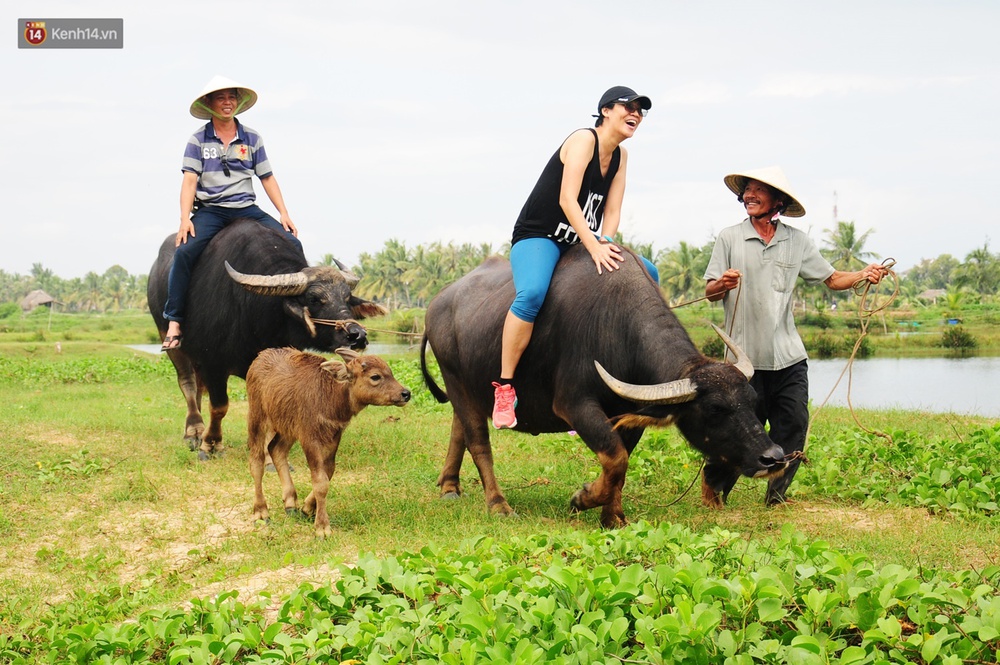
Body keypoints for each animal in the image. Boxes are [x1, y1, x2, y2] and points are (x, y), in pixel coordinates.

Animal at [146, 218, 384, 456]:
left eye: (347, 298)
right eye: (314, 299)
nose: (357, 335)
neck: (253, 315)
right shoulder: (212, 363)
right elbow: (220, 406)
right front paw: (212, 443)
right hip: (170, 340)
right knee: (187, 382)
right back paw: (194, 432)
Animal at [247, 348, 410, 536]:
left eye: (390, 372)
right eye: (375, 376)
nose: (406, 393)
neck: (331, 397)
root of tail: (260, 356)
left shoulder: (334, 436)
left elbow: (329, 472)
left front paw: (307, 509)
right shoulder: (309, 438)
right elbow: (320, 481)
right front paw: (322, 527)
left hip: (287, 427)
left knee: (276, 449)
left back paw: (290, 505)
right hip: (257, 418)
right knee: (256, 461)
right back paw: (261, 512)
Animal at [418, 241, 784, 528]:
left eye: (752, 400)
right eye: (714, 409)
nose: (774, 458)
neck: (616, 326)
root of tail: (438, 302)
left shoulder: (631, 412)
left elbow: (621, 461)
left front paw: (613, 517)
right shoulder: (574, 404)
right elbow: (615, 457)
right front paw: (582, 499)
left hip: (469, 387)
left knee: (459, 429)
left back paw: (449, 487)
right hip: (455, 378)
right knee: (479, 441)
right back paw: (498, 504)